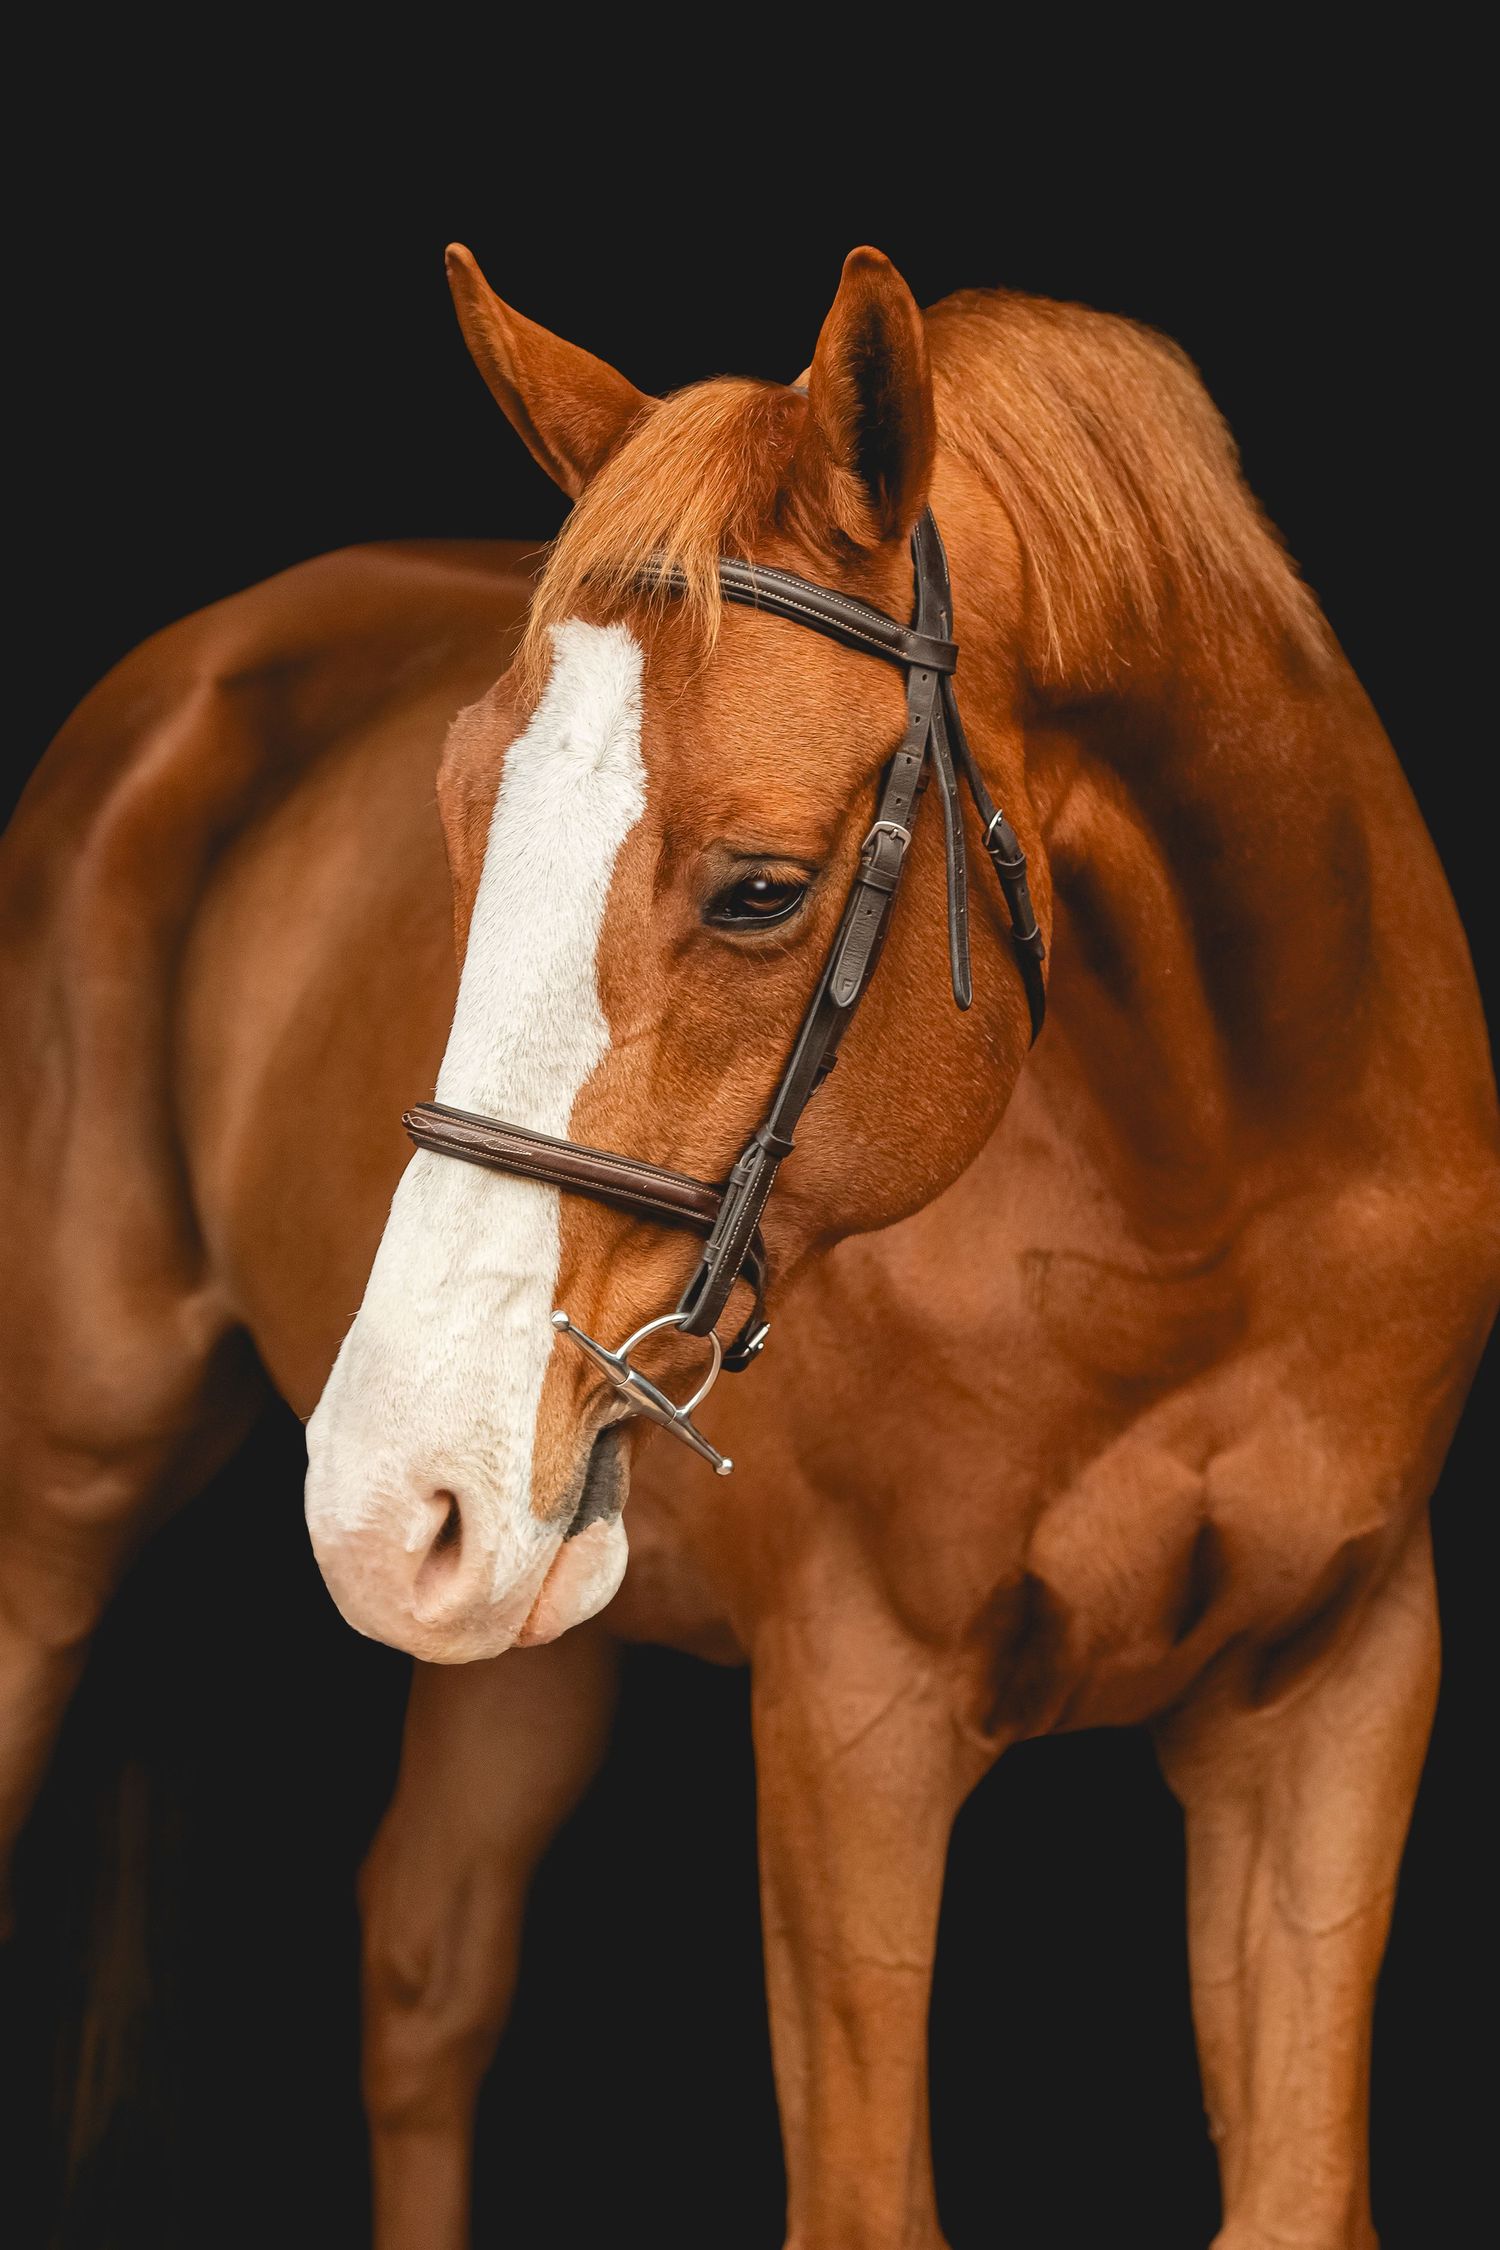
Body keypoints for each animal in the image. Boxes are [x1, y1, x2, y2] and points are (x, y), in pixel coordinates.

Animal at [3, 241, 1495, 2250]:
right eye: (457, 815)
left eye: (764, 889)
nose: (385, 1489)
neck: (1218, 1195)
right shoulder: (857, 1719)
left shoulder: (1336, 1689)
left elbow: (1300, 2193)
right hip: (70, 1501)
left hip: (526, 1628)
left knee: (424, 1975)